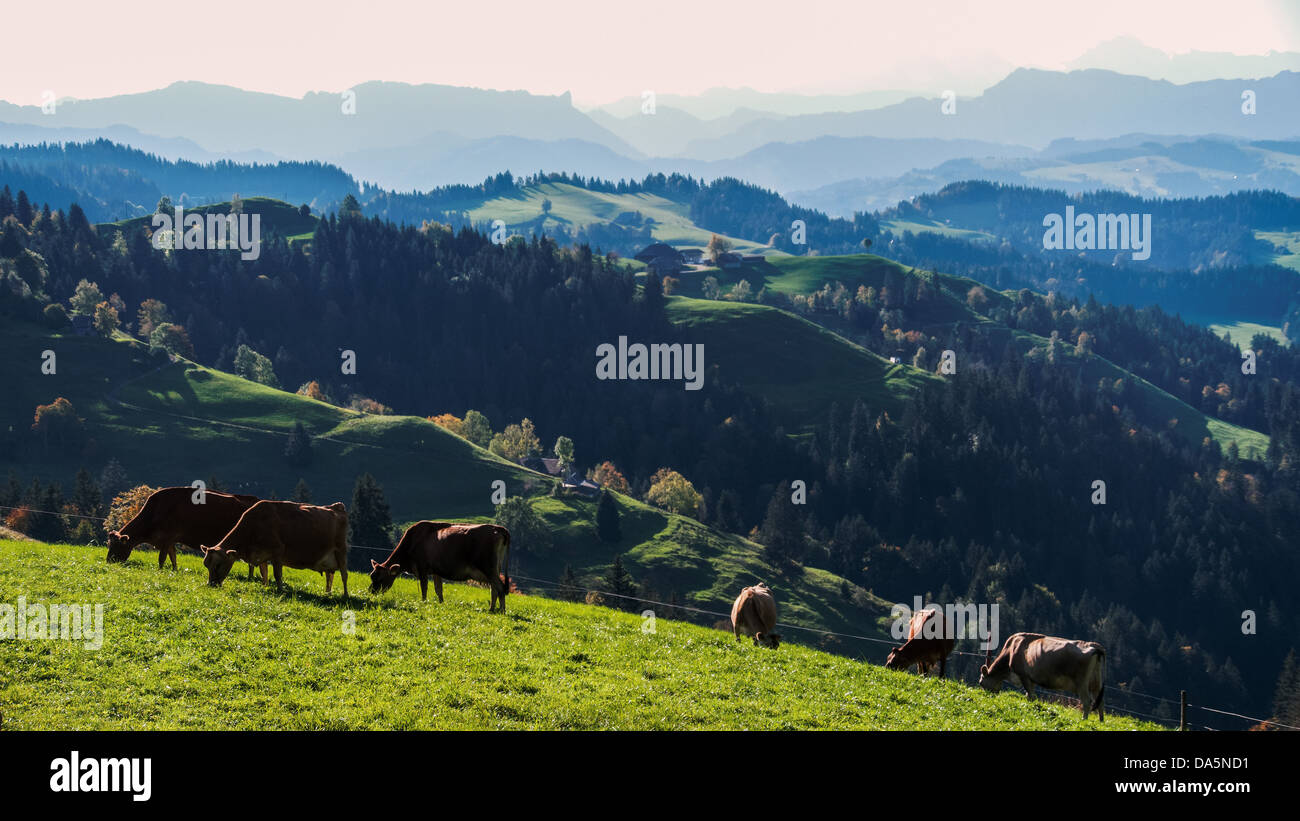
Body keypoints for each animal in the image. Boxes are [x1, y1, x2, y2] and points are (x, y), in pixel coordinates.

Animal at [105, 483, 261, 574]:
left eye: (117, 546)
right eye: (109, 544)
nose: (108, 562)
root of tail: (255, 500)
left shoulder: (167, 538)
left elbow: (162, 558)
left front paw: (160, 571)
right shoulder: (170, 541)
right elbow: (173, 557)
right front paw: (174, 571)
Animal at [198, 501, 351, 597]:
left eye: (218, 565)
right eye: (206, 565)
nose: (211, 584)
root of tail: (336, 506)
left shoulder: (278, 551)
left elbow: (277, 574)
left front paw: (280, 589)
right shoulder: (261, 555)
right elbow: (263, 573)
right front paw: (265, 587)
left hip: (341, 551)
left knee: (344, 575)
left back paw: (345, 595)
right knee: (330, 576)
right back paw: (327, 594)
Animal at [369, 522, 509, 613]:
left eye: (381, 579)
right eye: (372, 576)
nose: (371, 592)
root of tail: (499, 528)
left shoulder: (422, 568)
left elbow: (424, 588)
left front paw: (423, 603)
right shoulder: (436, 571)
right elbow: (438, 589)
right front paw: (441, 604)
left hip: (488, 567)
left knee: (500, 587)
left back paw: (502, 611)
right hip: (494, 569)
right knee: (494, 589)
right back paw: (491, 609)